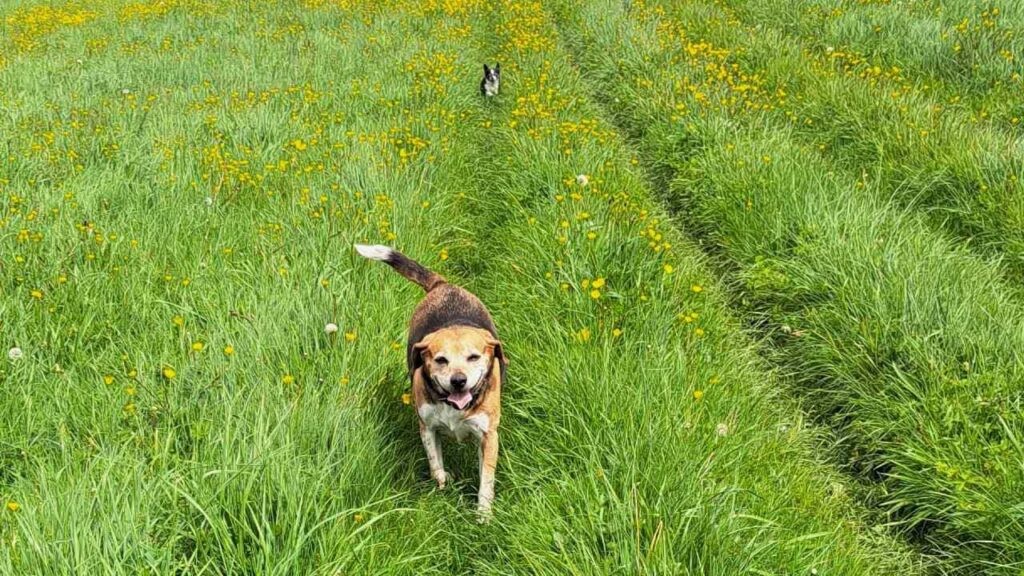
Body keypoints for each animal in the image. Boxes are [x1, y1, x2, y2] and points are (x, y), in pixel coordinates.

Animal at [354, 241, 505, 516]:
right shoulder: (427, 427)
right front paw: (445, 487)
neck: (453, 405)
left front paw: (483, 515)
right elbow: (436, 467)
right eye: (440, 360)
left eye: (473, 357)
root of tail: (442, 285)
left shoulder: (489, 436)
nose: (458, 381)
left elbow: (486, 481)